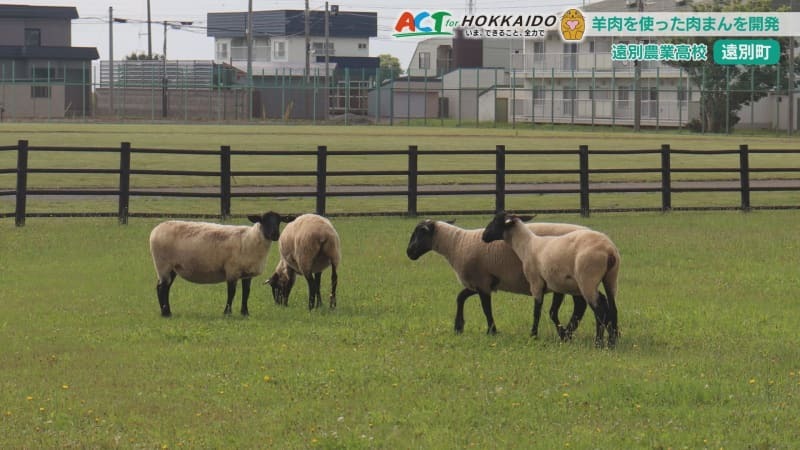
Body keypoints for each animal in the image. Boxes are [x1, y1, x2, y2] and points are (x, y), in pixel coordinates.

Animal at [148, 211, 296, 316]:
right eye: (264, 220)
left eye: (279, 221)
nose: (275, 234)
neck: (251, 239)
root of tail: (156, 229)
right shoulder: (232, 270)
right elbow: (231, 292)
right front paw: (227, 312)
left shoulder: (247, 273)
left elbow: (246, 292)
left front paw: (245, 313)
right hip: (163, 264)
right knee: (161, 288)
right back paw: (165, 313)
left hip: (172, 268)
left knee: (165, 288)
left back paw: (167, 311)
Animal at [406, 218, 588, 338]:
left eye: (419, 233)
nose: (409, 253)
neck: (456, 244)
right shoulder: (483, 283)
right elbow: (461, 297)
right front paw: (459, 326)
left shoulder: (481, 282)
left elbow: (486, 309)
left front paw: (491, 331)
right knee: (580, 305)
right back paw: (567, 331)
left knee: (580, 305)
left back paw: (566, 332)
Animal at [478, 212, 620, 348]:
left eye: (496, 221)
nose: (483, 236)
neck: (527, 246)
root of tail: (609, 250)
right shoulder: (558, 285)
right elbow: (552, 312)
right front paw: (563, 335)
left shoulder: (536, 282)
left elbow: (537, 311)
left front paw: (533, 335)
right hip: (610, 278)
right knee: (612, 307)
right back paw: (612, 341)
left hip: (587, 280)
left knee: (599, 311)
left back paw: (599, 343)